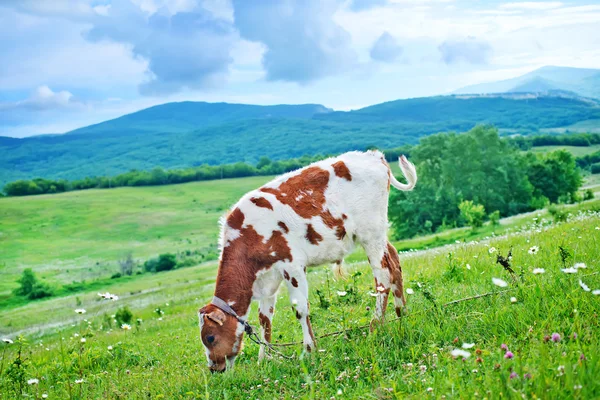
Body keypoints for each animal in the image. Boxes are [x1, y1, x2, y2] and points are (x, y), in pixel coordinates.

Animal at [199, 150, 414, 372]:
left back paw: (375, 326)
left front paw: (309, 350)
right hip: (379, 235)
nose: (213, 367)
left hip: (370, 233)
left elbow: (300, 309)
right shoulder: (269, 277)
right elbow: (265, 318)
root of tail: (374, 156)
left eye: (210, 337)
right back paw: (401, 314)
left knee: (383, 275)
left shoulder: (292, 265)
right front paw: (264, 359)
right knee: (395, 263)